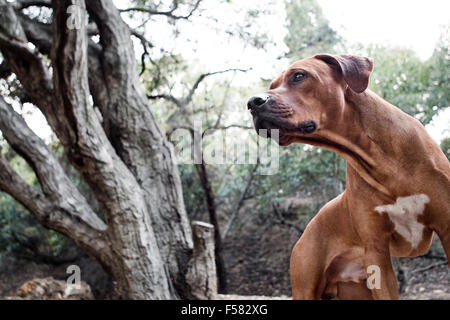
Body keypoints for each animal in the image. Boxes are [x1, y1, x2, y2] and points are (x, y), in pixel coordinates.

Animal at [248, 53, 448, 298]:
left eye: (298, 76)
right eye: (272, 86)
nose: (252, 103)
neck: (381, 157)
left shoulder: (446, 228)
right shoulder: (376, 251)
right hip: (307, 286)